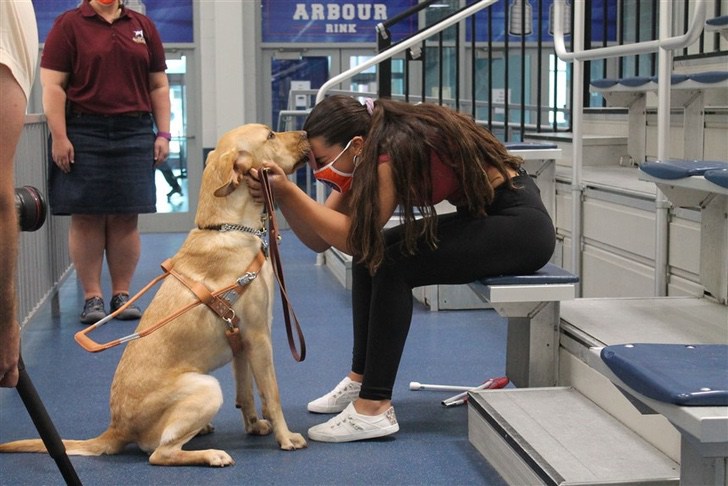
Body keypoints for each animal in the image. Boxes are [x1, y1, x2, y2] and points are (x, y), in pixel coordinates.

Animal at [0, 123, 310, 466]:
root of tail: (115, 428)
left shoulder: (241, 342)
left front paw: (254, 425)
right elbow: (272, 393)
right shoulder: (258, 337)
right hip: (206, 387)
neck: (227, 227)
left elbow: (247, 392)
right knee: (160, 454)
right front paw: (286, 437)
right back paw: (211, 454)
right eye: (269, 135)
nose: (306, 133)